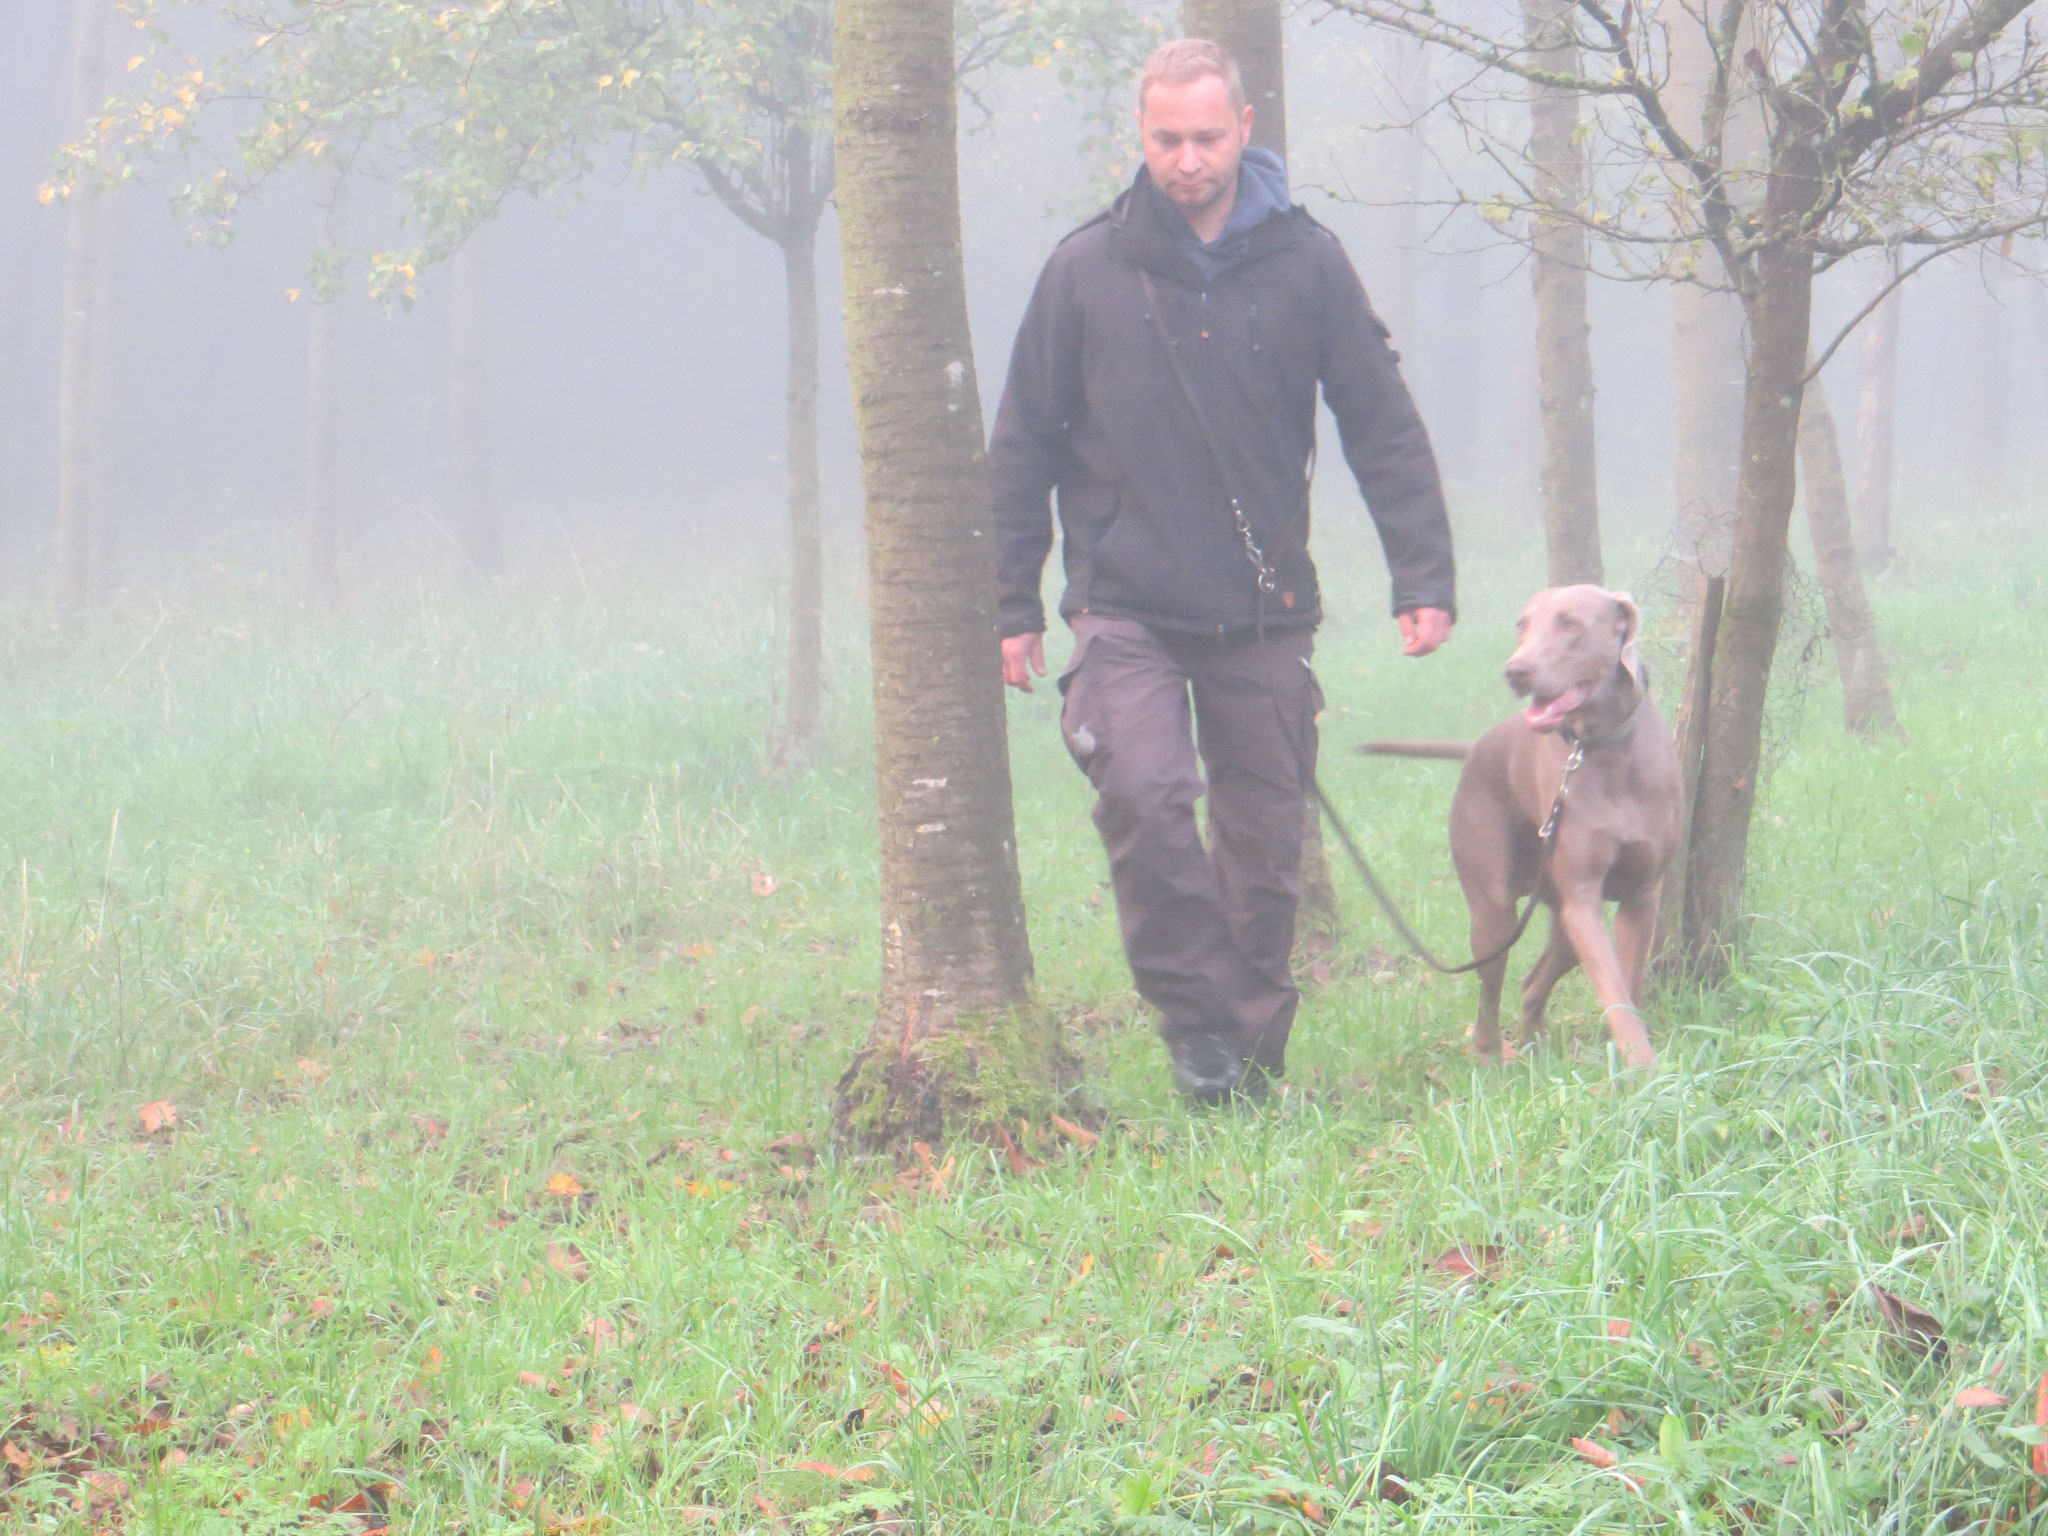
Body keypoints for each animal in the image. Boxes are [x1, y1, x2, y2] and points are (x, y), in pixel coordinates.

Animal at [1359, 589, 1679, 1073]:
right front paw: (1642, 1067)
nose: (1515, 670)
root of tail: (1477, 746)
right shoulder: (1583, 899)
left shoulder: (1640, 896)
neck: (1604, 749)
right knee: (1489, 993)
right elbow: (1614, 990)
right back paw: (1494, 1060)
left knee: (1532, 981)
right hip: (1496, 910)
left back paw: (1535, 1050)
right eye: (1522, 625)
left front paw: (1639, 1063)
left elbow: (1629, 986)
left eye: (1570, 623)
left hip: (1561, 914)